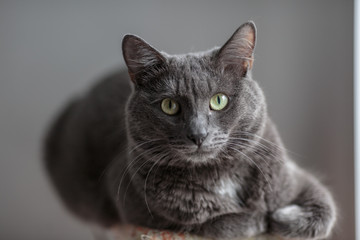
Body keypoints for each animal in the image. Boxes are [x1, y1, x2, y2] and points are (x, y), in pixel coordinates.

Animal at [43, 21, 336, 239]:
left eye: (219, 100)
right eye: (169, 105)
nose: (198, 134)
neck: (219, 173)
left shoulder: (292, 175)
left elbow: (325, 203)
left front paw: (282, 216)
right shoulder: (135, 208)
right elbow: (217, 222)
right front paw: (259, 218)